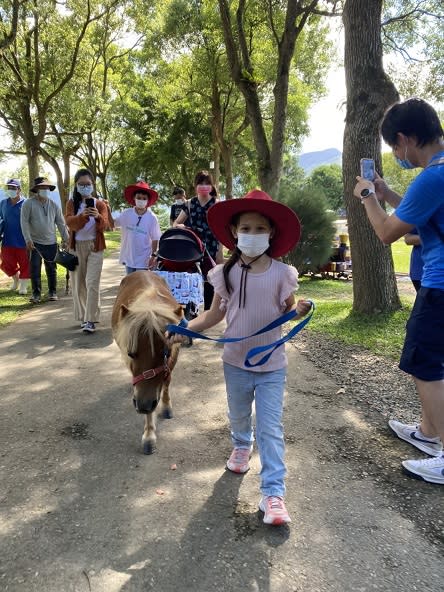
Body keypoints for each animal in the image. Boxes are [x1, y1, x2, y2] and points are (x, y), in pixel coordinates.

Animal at [112, 270, 183, 456]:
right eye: (130, 353)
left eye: (166, 352)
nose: (143, 405)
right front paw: (149, 435)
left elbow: (166, 383)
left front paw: (166, 407)